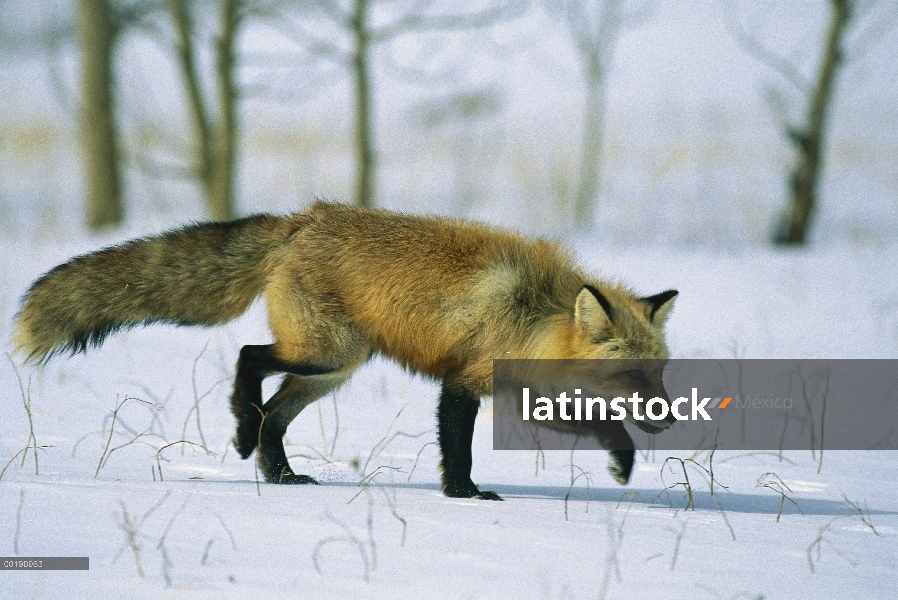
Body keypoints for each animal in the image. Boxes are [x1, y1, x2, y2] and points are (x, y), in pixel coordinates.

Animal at [14, 202, 676, 496]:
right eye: (633, 376)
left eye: (660, 373)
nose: (668, 420)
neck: (534, 316)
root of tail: (301, 221)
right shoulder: (463, 382)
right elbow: (458, 449)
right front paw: (463, 495)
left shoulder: (526, 391)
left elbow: (602, 429)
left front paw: (623, 465)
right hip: (330, 354)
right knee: (249, 357)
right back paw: (240, 430)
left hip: (330, 371)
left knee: (275, 417)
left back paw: (278, 472)